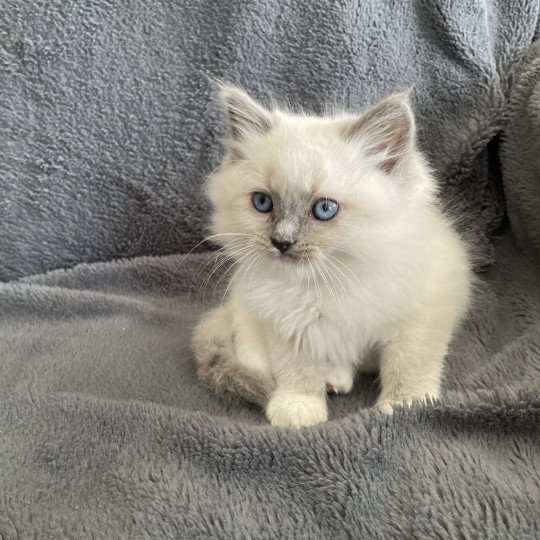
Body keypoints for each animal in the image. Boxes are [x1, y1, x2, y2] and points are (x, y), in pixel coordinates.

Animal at [192, 84, 470, 428]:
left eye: (325, 209)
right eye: (262, 203)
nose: (282, 242)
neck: (333, 281)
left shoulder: (420, 317)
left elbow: (408, 365)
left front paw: (405, 405)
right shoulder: (287, 323)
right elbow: (298, 372)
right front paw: (299, 409)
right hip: (246, 321)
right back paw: (334, 380)